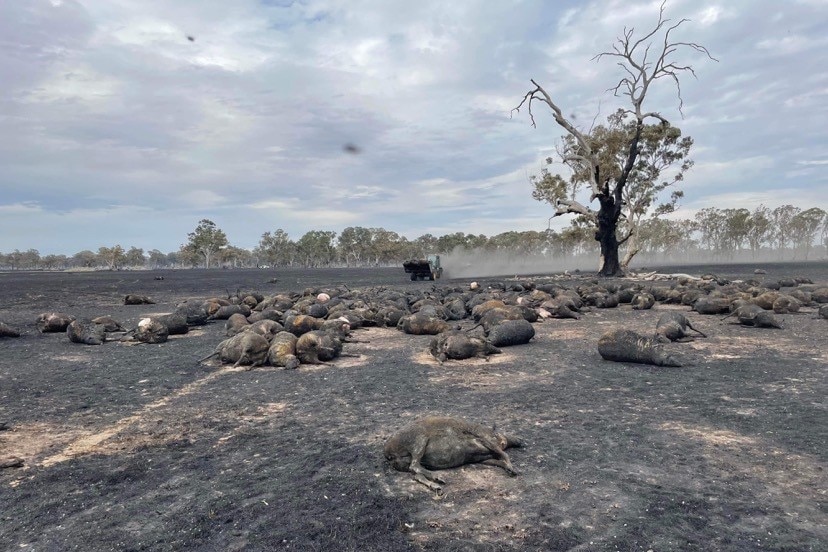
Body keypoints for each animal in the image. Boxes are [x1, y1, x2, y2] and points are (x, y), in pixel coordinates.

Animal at [384, 414, 524, 492]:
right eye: (498, 432)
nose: (521, 440)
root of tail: (387, 452)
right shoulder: (483, 440)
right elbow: (504, 455)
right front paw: (514, 471)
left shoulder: (482, 458)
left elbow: (499, 461)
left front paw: (510, 470)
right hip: (420, 440)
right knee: (415, 466)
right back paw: (439, 478)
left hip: (405, 463)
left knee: (416, 474)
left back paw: (437, 486)